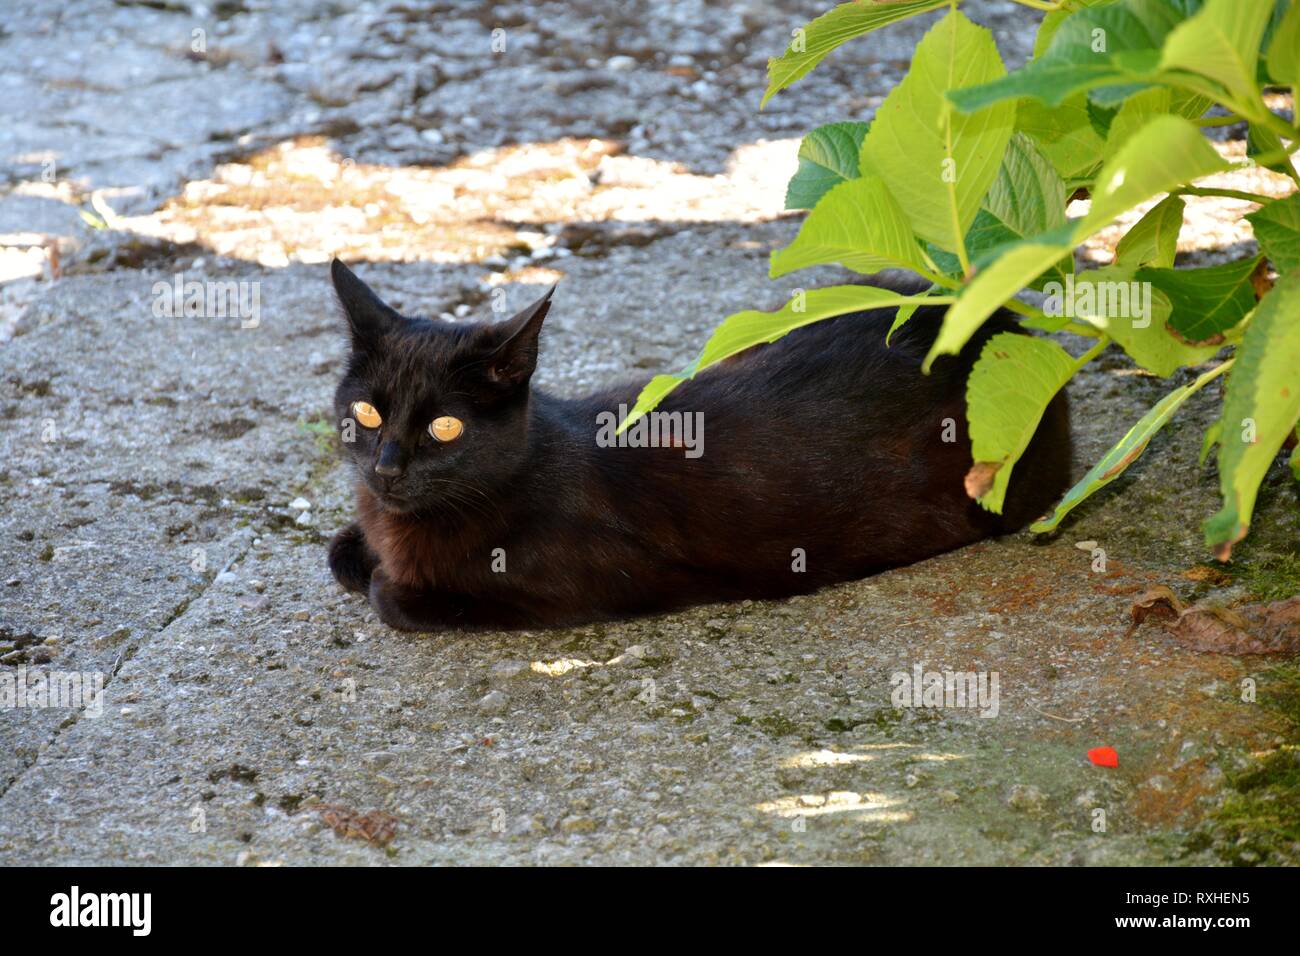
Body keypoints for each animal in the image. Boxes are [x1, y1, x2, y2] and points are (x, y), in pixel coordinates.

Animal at [325, 257, 1066, 632]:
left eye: (444, 427)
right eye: (366, 411)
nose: (387, 465)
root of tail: (1003, 325)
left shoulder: (574, 589)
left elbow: (394, 597)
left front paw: (381, 576)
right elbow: (340, 548)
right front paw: (356, 547)